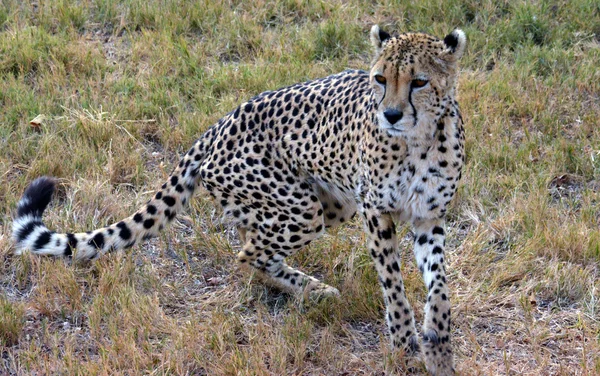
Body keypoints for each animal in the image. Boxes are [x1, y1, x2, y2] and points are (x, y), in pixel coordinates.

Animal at [12, 26, 464, 376]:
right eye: (380, 79)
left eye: (419, 81)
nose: (390, 114)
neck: (418, 140)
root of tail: (221, 121)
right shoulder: (375, 212)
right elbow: (393, 283)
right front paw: (405, 341)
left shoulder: (428, 216)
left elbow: (438, 283)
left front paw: (438, 340)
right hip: (306, 209)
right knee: (247, 254)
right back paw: (310, 289)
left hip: (330, 203)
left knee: (253, 239)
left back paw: (309, 288)